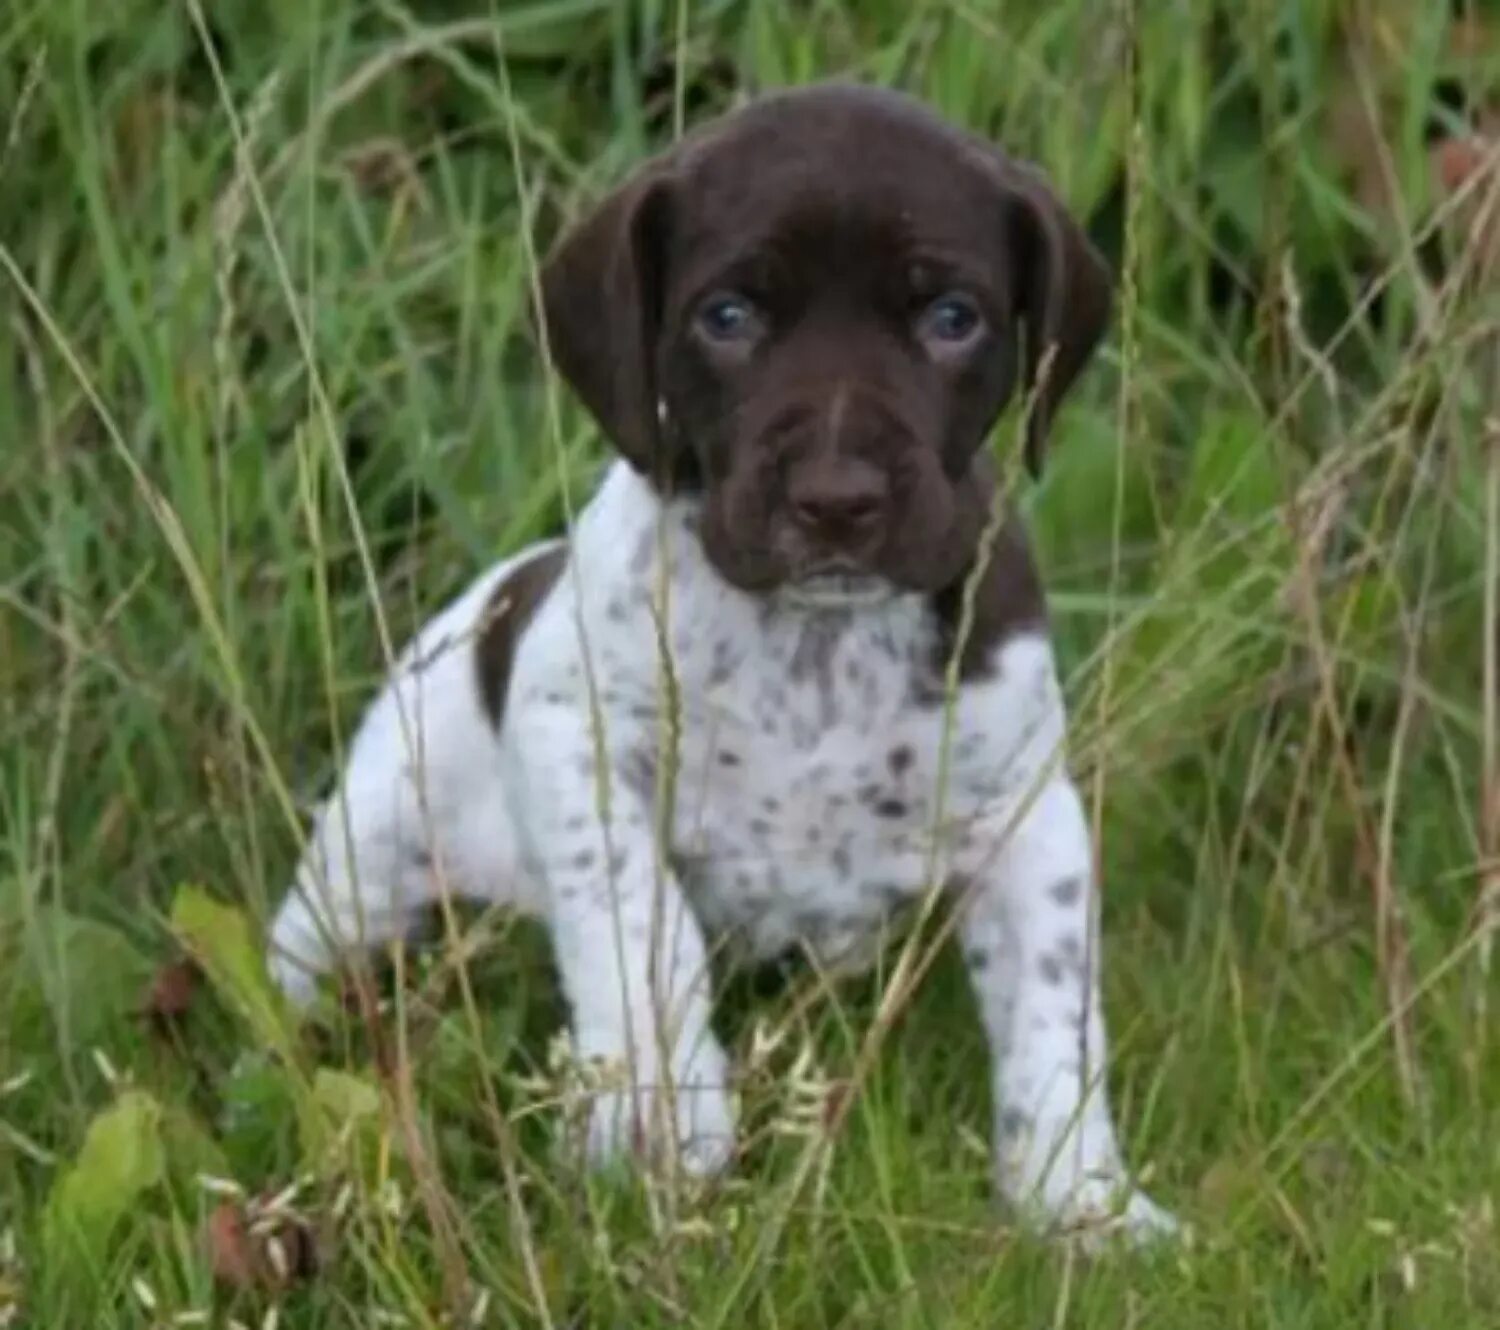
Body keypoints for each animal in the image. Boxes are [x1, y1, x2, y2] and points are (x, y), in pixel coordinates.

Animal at [273, 80, 1182, 1247]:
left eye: (953, 319)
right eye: (728, 318)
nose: (837, 501)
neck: (815, 644)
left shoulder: (1028, 818)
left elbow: (1053, 1020)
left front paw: (1078, 1202)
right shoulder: (579, 749)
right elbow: (644, 936)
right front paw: (662, 1129)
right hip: (369, 855)